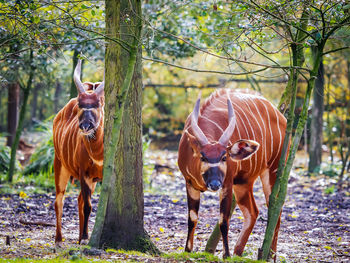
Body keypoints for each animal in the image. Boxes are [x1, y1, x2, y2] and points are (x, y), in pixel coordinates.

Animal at [52, 59, 104, 248]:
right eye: (81, 105)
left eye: (97, 104)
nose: (86, 126)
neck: (98, 154)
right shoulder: (84, 173)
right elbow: (88, 206)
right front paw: (85, 238)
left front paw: (84, 237)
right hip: (60, 165)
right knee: (59, 200)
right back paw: (59, 240)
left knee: (79, 200)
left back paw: (79, 236)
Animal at [178, 88, 288, 260]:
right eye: (203, 157)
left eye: (224, 157)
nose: (214, 184)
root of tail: (279, 115)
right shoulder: (189, 183)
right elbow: (192, 218)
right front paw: (187, 251)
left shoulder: (227, 184)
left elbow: (224, 221)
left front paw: (226, 255)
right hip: (244, 182)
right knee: (253, 212)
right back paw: (238, 252)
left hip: (273, 171)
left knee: (275, 208)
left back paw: (269, 256)